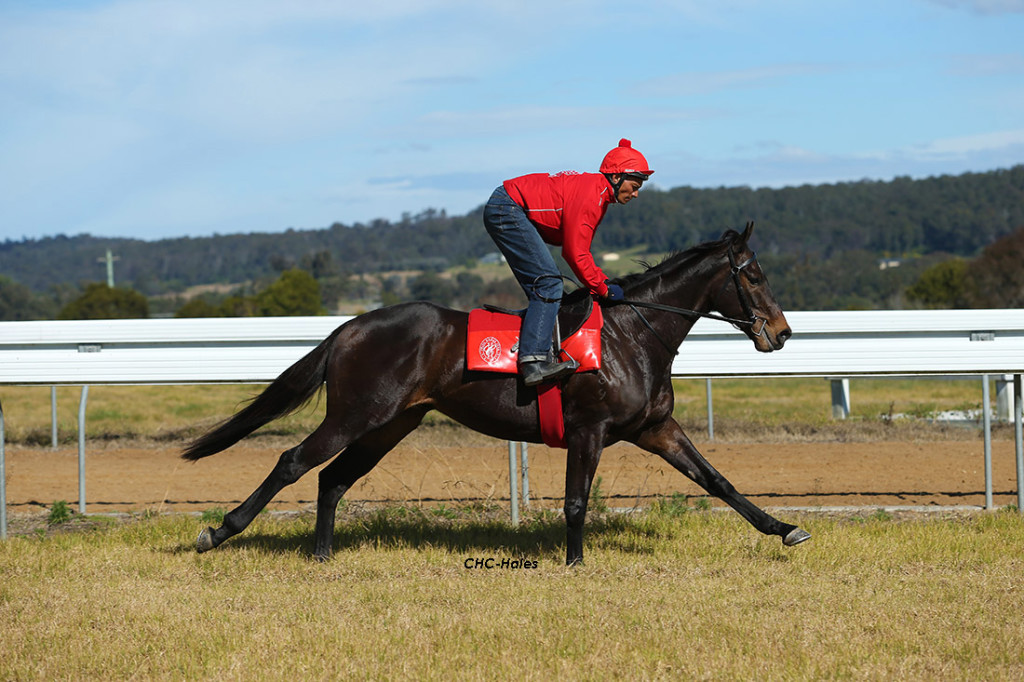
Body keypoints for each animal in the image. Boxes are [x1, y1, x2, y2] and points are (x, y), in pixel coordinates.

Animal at [182, 220, 806, 561]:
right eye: (753, 275)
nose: (781, 332)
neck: (630, 333)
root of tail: (348, 327)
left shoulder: (655, 427)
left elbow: (717, 480)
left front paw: (784, 529)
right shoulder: (590, 430)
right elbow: (576, 501)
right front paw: (575, 564)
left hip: (391, 423)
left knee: (333, 478)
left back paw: (321, 554)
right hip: (357, 414)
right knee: (293, 461)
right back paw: (220, 531)